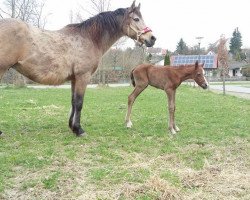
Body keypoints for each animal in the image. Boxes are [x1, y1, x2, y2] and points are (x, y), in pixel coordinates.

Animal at [0, 0, 156, 136]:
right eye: (136, 19)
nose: (152, 38)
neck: (90, 38)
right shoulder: (83, 76)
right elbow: (80, 102)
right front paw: (79, 130)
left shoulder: (74, 79)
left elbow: (73, 102)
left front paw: (72, 127)